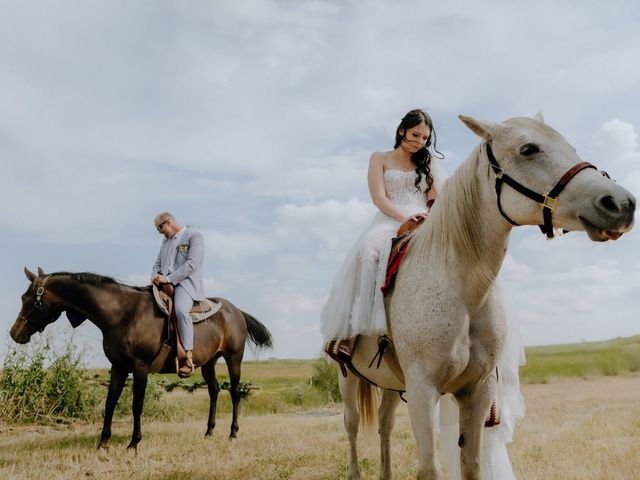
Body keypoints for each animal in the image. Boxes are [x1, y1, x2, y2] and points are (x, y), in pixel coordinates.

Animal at [9, 268, 272, 448]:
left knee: (235, 392)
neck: (122, 314)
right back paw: (209, 432)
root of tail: (236, 311)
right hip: (208, 362)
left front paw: (134, 442)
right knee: (214, 391)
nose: (14, 333)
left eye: (27, 298)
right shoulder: (118, 367)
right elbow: (110, 403)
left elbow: (137, 404)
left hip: (233, 358)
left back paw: (233, 432)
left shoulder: (140, 367)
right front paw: (103, 443)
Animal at [340, 113, 636, 480]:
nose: (620, 204)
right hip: (347, 377)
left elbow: (472, 464)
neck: (460, 290)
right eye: (528, 149)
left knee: (384, 424)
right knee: (352, 424)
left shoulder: (478, 391)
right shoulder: (423, 390)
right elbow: (429, 468)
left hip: (393, 383)